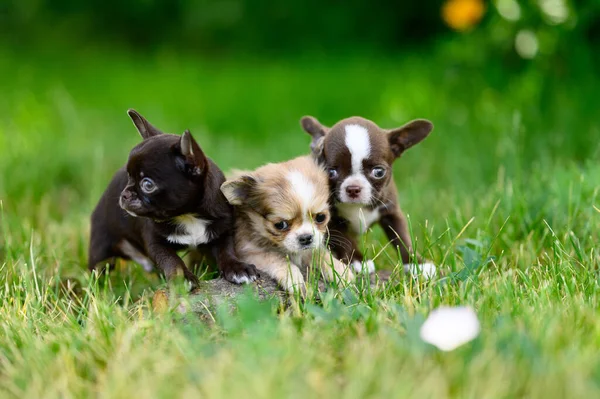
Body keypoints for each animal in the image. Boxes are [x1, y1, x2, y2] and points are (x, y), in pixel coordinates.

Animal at [88, 110, 256, 288]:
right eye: (128, 177)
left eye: (147, 184)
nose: (124, 194)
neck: (188, 215)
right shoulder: (156, 243)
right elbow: (171, 260)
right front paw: (182, 278)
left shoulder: (222, 231)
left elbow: (227, 251)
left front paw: (237, 268)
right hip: (101, 247)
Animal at [300, 115, 436, 278]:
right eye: (330, 172)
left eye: (379, 172)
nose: (353, 188)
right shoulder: (330, 220)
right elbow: (344, 240)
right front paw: (357, 260)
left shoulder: (391, 213)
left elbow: (401, 238)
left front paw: (416, 263)